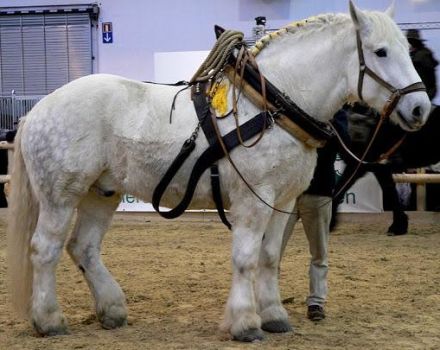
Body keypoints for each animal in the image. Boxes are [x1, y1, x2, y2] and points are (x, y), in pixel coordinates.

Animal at [6, 1, 430, 344]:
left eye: (408, 50)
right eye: (380, 52)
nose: (421, 108)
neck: (270, 104)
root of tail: (39, 108)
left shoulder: (283, 201)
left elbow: (269, 257)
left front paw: (274, 315)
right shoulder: (253, 199)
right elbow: (245, 258)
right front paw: (245, 323)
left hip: (101, 193)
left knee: (84, 247)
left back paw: (112, 310)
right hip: (61, 196)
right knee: (45, 250)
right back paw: (49, 320)